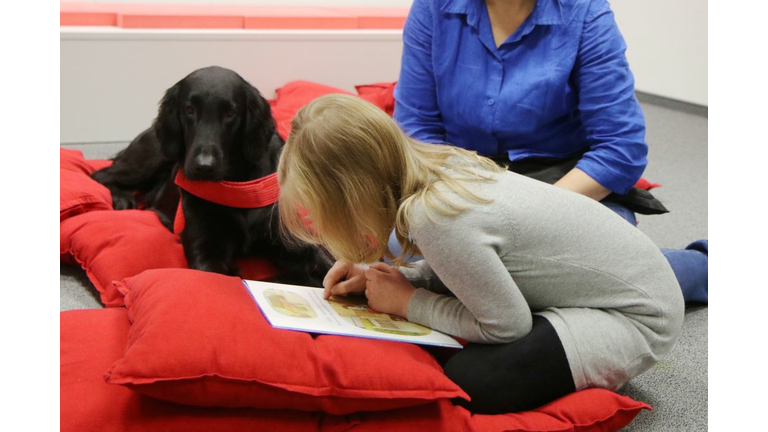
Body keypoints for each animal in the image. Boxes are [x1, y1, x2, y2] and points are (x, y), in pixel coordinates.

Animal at [91, 66, 330, 286]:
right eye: (189, 109)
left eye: (230, 113)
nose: (203, 166)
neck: (236, 184)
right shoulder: (206, 248)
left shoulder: (290, 241)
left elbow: (323, 263)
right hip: (151, 157)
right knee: (100, 174)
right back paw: (122, 198)